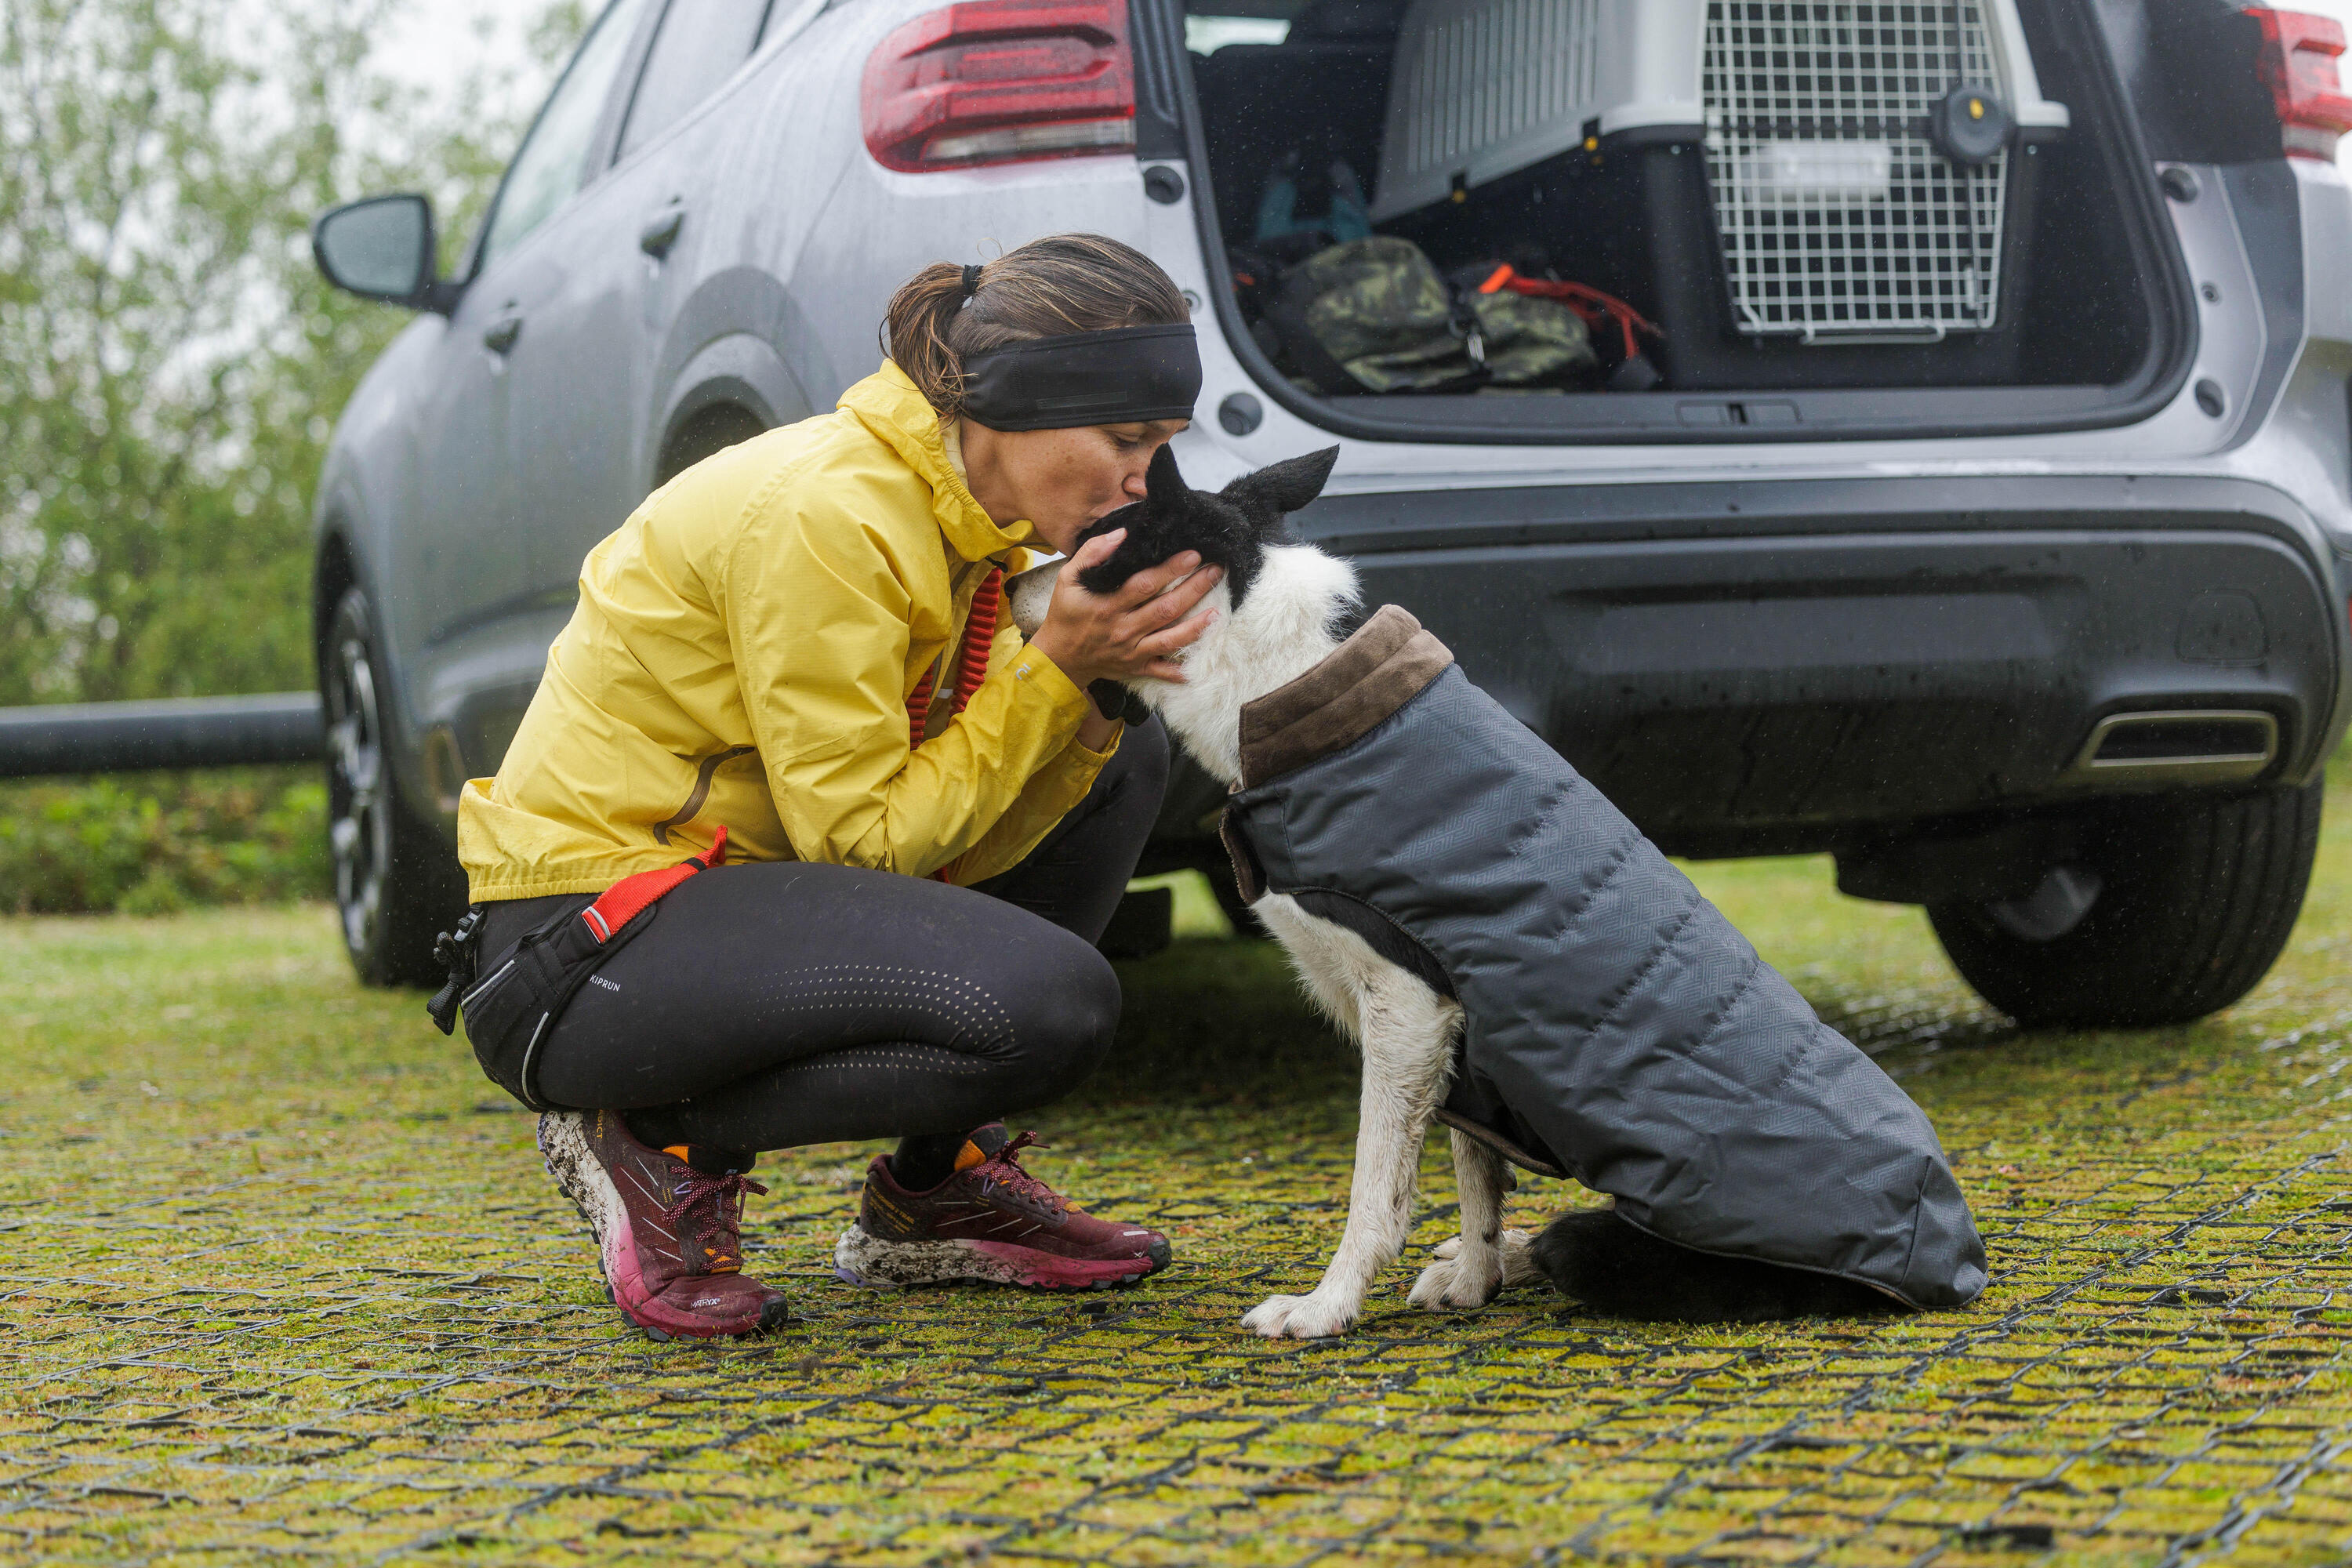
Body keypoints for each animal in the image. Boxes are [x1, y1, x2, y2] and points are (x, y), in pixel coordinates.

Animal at [1011, 446, 1985, 1345]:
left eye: (1090, 543)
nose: (1012, 582)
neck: (1285, 676)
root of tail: (1952, 1262)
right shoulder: (1459, 1026)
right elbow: (1474, 1165)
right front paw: (1475, 1273)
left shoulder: (1407, 1003)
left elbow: (1376, 1188)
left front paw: (1328, 1305)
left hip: (1637, 1241)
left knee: (1569, 1238)